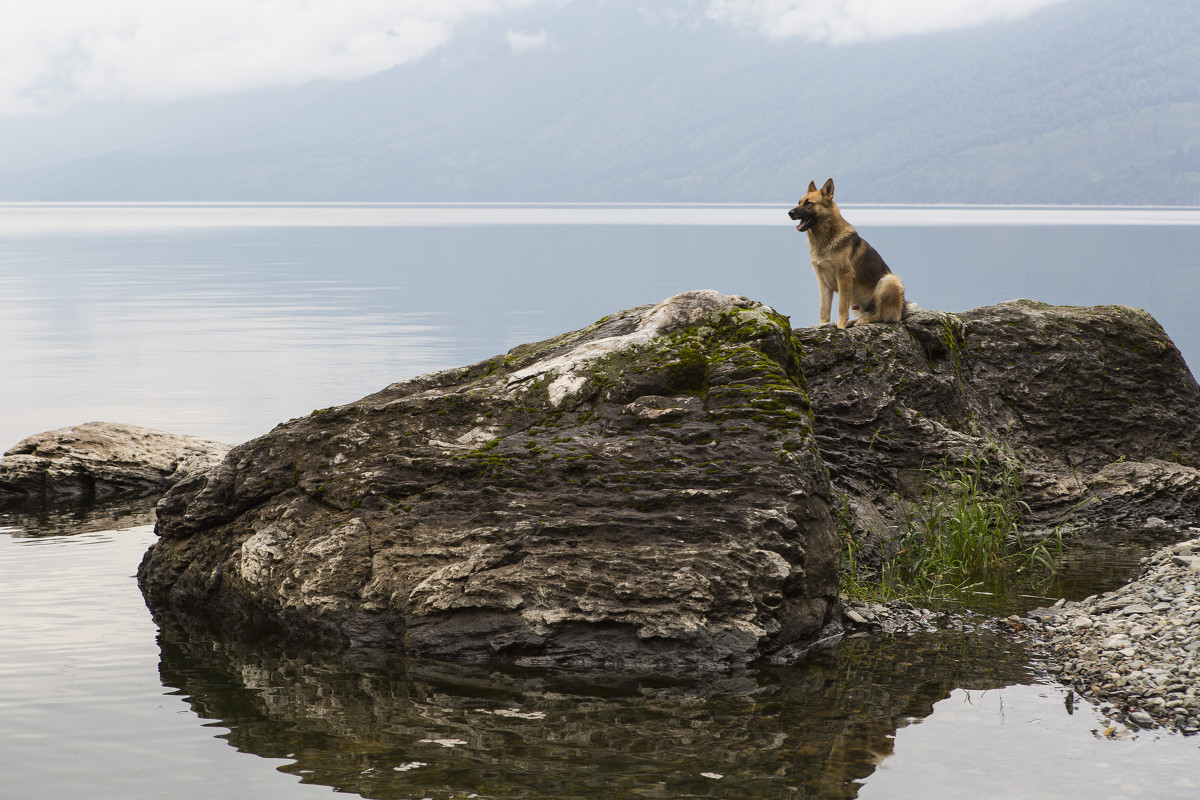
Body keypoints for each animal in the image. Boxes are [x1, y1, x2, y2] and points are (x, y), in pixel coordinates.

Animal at [792, 181, 902, 328]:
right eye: (799, 202)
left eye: (809, 203)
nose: (790, 213)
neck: (826, 239)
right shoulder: (823, 283)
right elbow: (824, 309)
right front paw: (822, 324)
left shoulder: (844, 276)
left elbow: (841, 306)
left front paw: (840, 326)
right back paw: (854, 321)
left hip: (889, 280)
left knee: (882, 315)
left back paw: (865, 320)